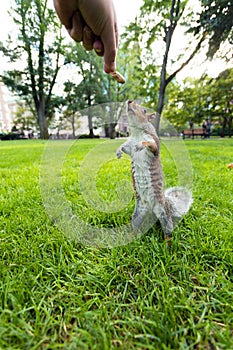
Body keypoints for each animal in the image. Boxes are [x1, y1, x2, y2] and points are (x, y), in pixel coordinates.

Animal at [116, 100, 193, 241]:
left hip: (163, 213)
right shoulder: (129, 146)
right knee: (135, 225)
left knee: (168, 230)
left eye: (145, 110)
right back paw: (131, 236)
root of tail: (152, 210)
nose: (129, 101)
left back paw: (167, 243)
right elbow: (124, 147)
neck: (137, 133)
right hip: (138, 213)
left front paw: (140, 145)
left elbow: (150, 145)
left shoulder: (153, 142)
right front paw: (118, 151)